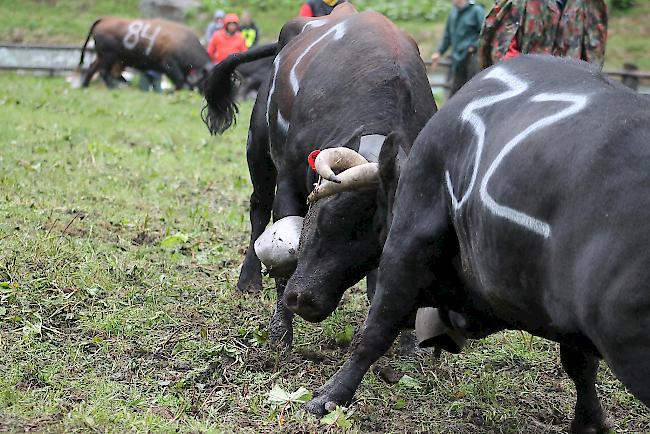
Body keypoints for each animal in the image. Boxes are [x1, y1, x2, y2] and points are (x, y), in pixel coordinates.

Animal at [202, 3, 436, 348]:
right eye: (325, 219)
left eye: (378, 243)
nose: (306, 301)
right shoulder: (289, 182)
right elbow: (286, 252)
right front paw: (280, 332)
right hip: (257, 149)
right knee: (258, 208)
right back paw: (249, 279)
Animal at [302, 55, 648, 434]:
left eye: (332, 218)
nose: (297, 297)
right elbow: (580, 365)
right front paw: (589, 422)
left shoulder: (407, 241)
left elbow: (374, 330)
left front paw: (327, 398)